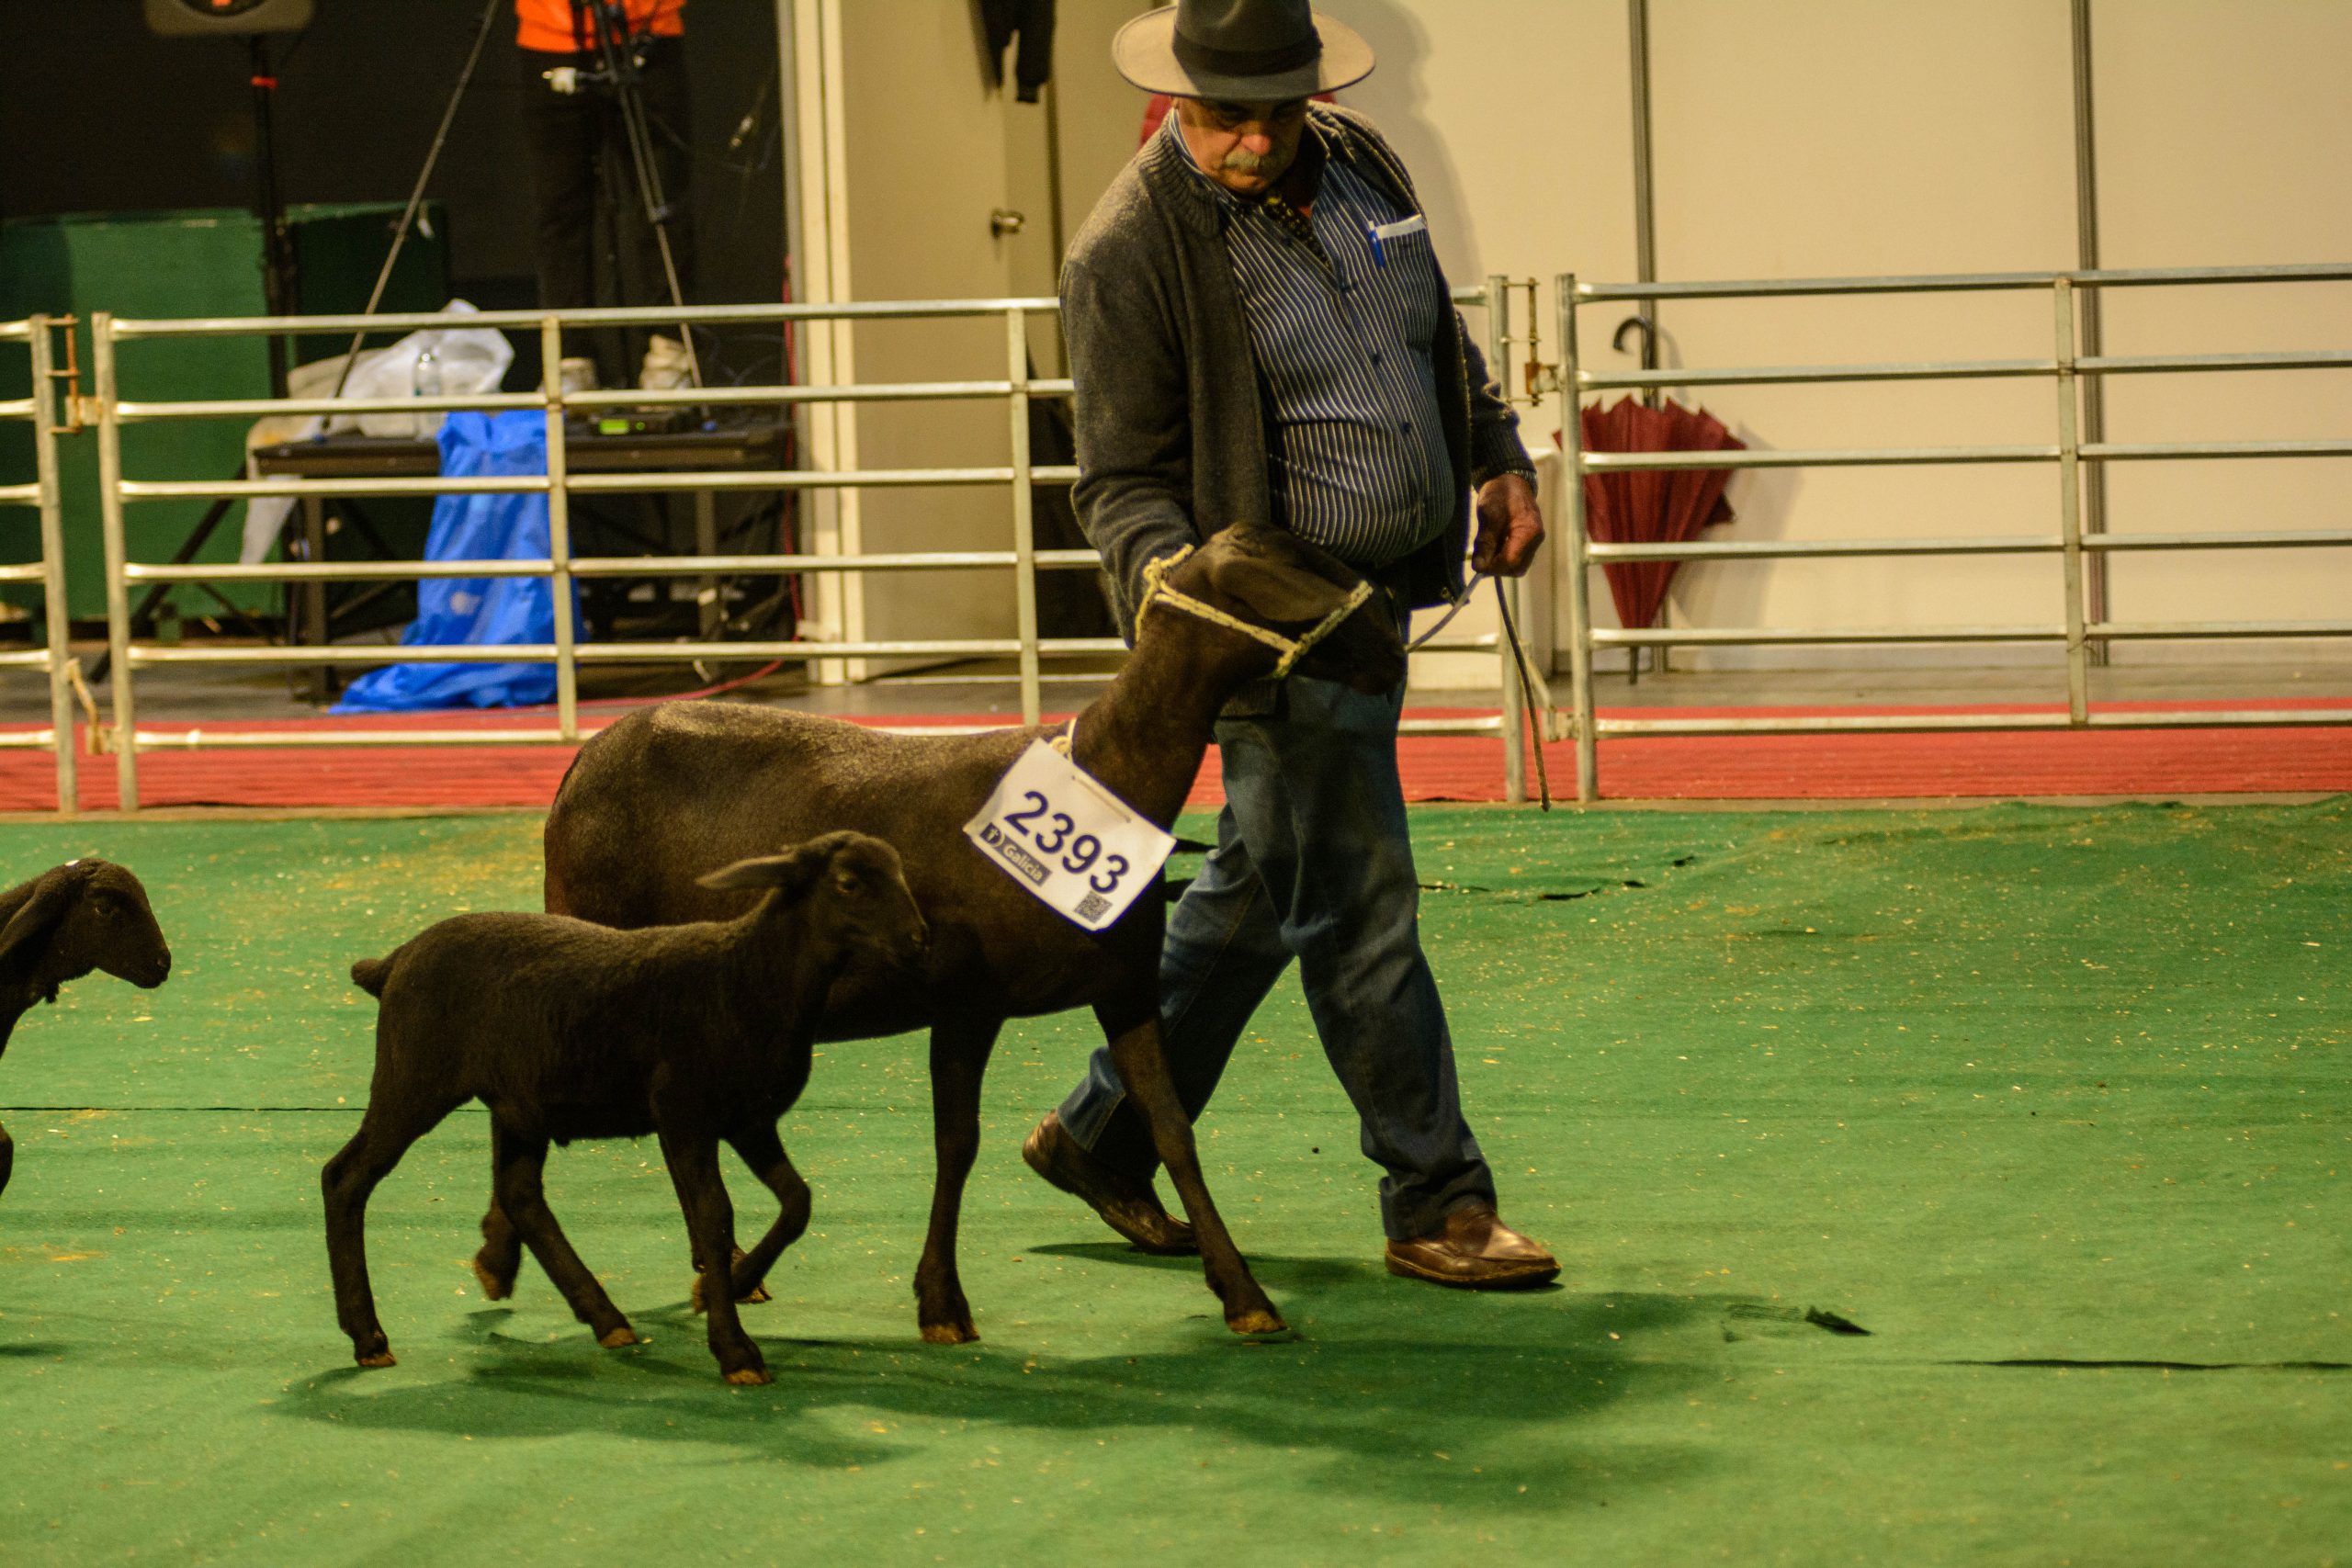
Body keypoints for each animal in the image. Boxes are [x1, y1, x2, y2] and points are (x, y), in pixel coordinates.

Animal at [324, 831, 926, 1382]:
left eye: (900, 872)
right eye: (847, 883)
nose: (919, 938)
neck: (748, 974)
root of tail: (394, 960)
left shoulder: (750, 1120)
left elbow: (797, 1202)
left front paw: (724, 1290)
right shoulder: (685, 1112)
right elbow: (715, 1217)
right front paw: (735, 1349)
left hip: (520, 1104)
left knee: (521, 1196)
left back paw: (605, 1318)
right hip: (414, 1077)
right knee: (345, 1177)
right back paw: (367, 1336)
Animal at [540, 522, 1401, 1344]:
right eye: (1294, 570)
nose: (1393, 651)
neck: (1108, 773)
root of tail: (577, 766)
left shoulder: (1124, 988)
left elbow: (1173, 1129)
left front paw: (1244, 1294)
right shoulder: (966, 1001)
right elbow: (957, 1145)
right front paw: (942, 1302)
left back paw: (722, 1271)